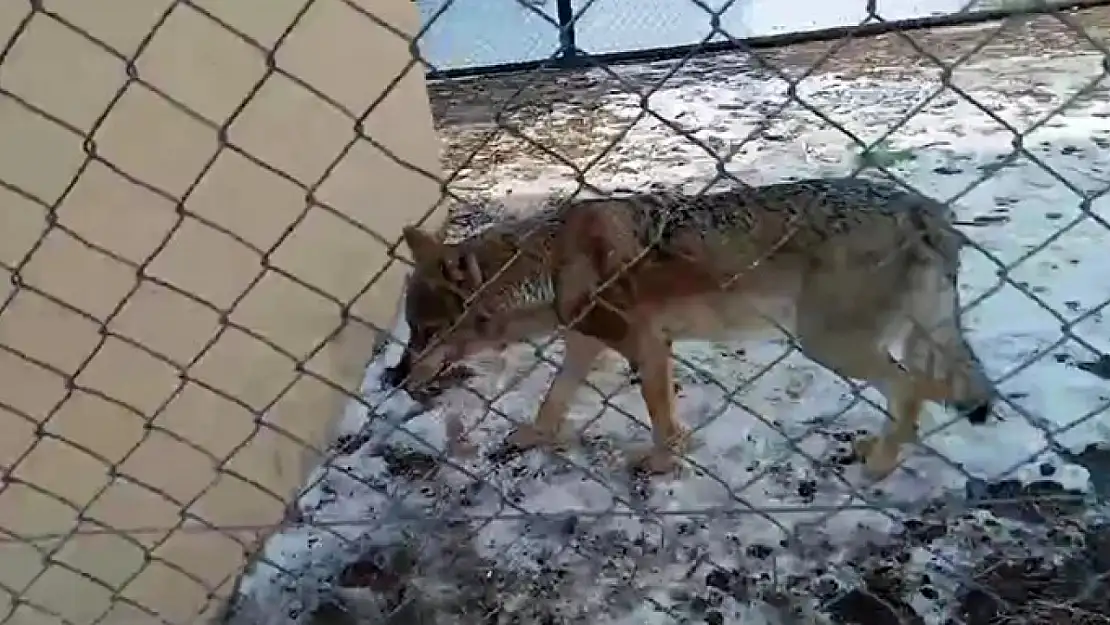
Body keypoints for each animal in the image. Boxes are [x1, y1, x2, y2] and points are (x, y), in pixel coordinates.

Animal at [384, 178, 999, 481]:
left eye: (425, 332)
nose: (394, 377)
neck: (548, 267)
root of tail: (925, 209)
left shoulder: (648, 347)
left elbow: (661, 419)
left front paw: (662, 464)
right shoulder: (585, 345)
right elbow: (553, 399)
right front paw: (534, 436)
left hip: (824, 343)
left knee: (914, 390)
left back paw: (881, 464)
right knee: (923, 390)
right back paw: (883, 448)